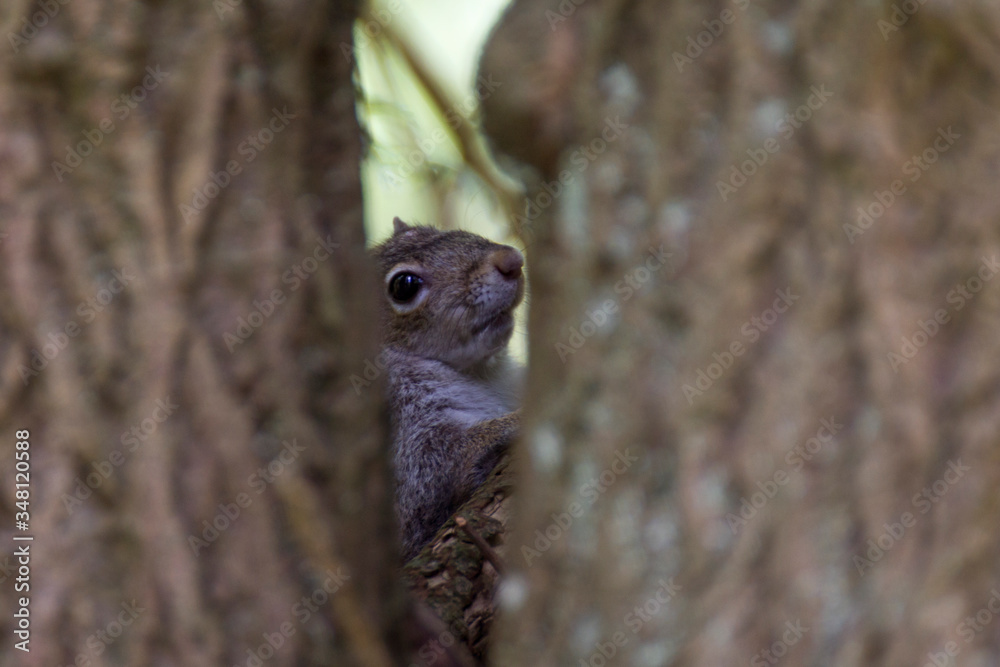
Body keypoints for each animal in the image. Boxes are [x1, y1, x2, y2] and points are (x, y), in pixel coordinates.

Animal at [373, 218, 525, 561]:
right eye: (404, 285)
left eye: (430, 229)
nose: (511, 260)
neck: (482, 373)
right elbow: (434, 470)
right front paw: (517, 421)